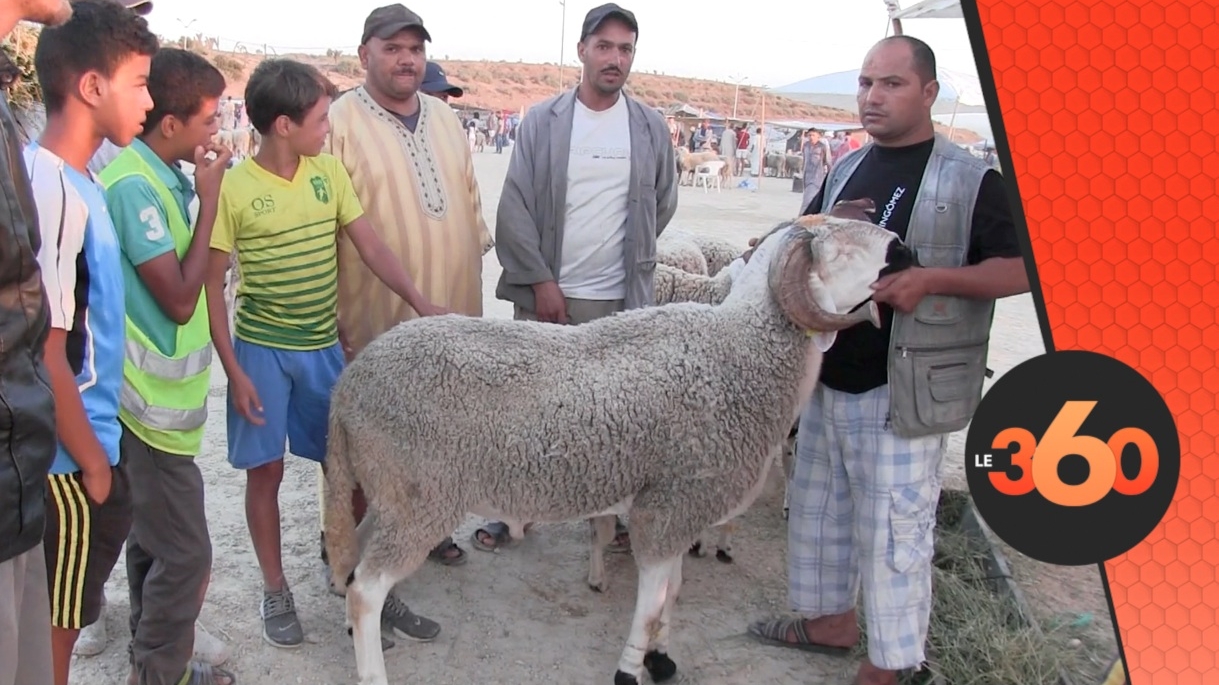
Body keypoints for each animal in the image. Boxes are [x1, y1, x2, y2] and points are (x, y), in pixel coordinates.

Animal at [319, 198, 911, 682]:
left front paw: (662, 656)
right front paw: (631, 668)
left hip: (391, 491)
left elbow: (671, 593)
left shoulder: (678, 508)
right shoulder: (669, 508)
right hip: (423, 498)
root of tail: (349, 388)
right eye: (838, 250)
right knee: (367, 590)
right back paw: (371, 670)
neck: (739, 349)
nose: (903, 249)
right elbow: (650, 605)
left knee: (354, 567)